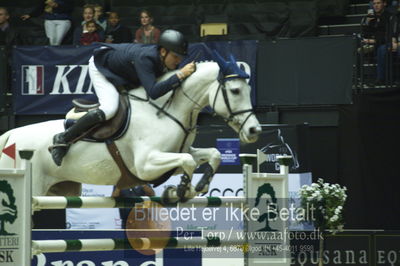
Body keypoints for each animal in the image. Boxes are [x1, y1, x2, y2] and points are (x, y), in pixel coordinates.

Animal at [0, 54, 260, 202]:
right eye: (235, 91)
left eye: (248, 89)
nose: (254, 131)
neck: (166, 110)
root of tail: (10, 135)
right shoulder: (146, 165)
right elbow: (187, 161)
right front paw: (181, 191)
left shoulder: (175, 155)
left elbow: (211, 155)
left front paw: (199, 186)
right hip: (33, 185)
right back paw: (58, 146)